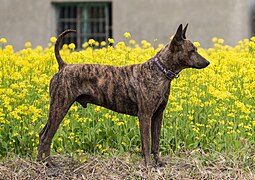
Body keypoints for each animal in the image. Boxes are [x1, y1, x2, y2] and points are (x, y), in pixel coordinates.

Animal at [37, 23, 209, 167]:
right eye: (192, 50)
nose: (207, 62)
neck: (160, 70)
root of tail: (63, 66)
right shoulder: (145, 116)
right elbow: (146, 143)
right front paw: (148, 165)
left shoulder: (158, 115)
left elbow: (155, 143)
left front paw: (159, 163)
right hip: (60, 107)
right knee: (46, 137)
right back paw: (48, 163)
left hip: (57, 109)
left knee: (42, 134)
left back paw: (40, 162)